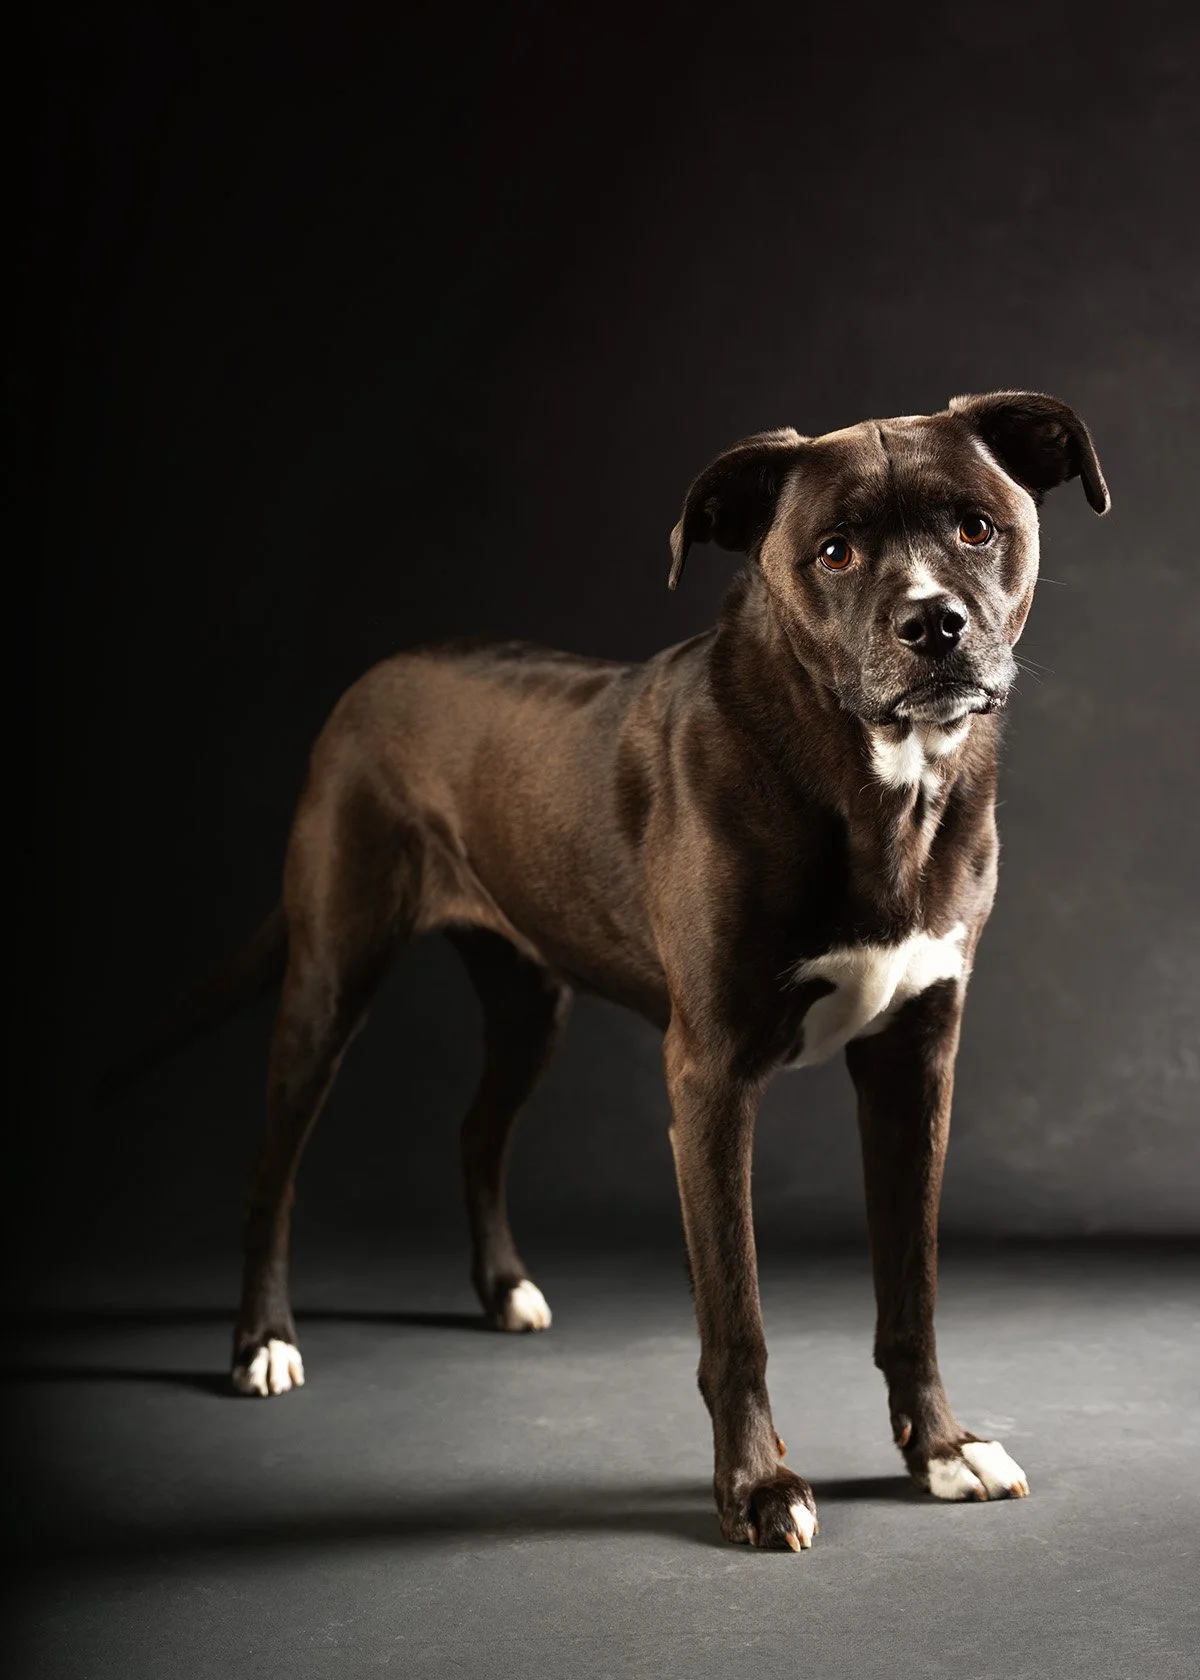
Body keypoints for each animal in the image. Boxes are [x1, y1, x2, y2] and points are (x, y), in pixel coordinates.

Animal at [105, 390, 1108, 1551]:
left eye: (977, 528)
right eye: (836, 550)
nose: (933, 624)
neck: (873, 781)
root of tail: (372, 680)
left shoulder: (916, 1062)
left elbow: (913, 1288)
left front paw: (941, 1449)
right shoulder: (712, 1080)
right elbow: (738, 1316)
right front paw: (758, 1488)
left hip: (527, 1001)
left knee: (477, 1131)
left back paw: (503, 1290)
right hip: (329, 976)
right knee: (274, 1168)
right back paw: (262, 1343)